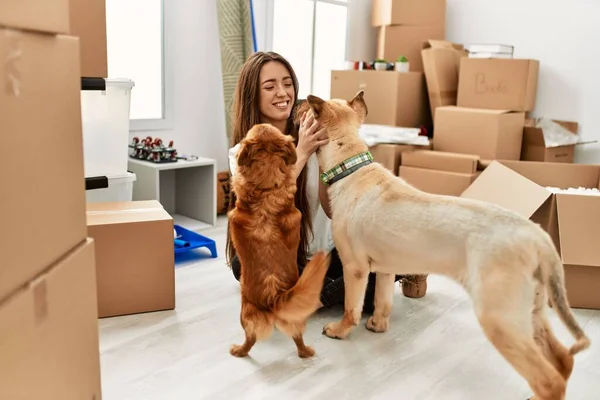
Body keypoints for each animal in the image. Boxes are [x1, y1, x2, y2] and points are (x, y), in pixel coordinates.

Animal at [229, 123, 330, 358]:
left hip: (245, 312)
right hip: (295, 318)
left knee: (250, 339)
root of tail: (274, 296)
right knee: (298, 338)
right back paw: (307, 352)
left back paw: (238, 351)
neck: (267, 189)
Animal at [298, 93, 588, 400]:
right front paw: (378, 325)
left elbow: (351, 308)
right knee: (563, 359)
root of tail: (538, 237)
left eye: (309, 109)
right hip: (532, 310)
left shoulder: (354, 268)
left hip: (501, 317)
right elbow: (382, 302)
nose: (299, 103)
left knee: (548, 377)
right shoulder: (386, 270)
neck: (350, 167)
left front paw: (340, 330)